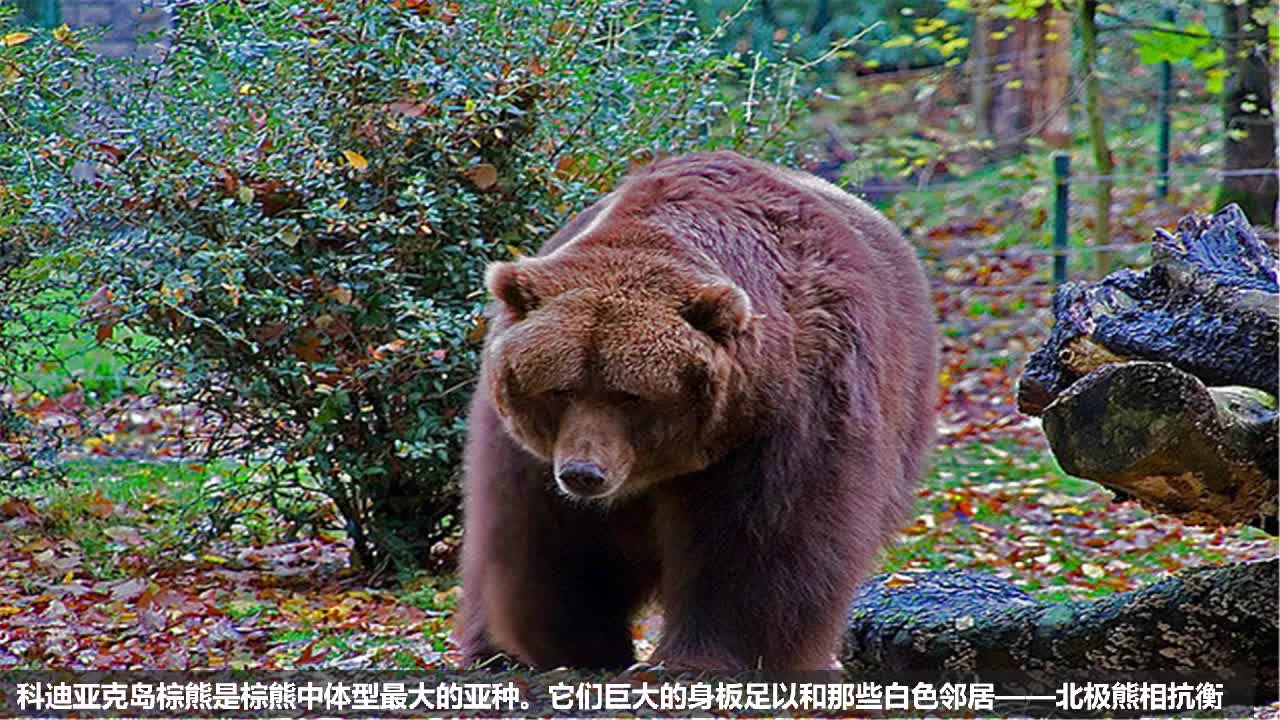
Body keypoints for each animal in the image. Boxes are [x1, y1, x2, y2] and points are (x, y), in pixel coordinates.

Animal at [458, 151, 937, 672]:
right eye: (561, 389)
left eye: (630, 395)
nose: (584, 472)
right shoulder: (530, 456)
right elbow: (548, 547)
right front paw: (576, 646)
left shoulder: (787, 415)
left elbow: (759, 545)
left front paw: (700, 657)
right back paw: (489, 651)